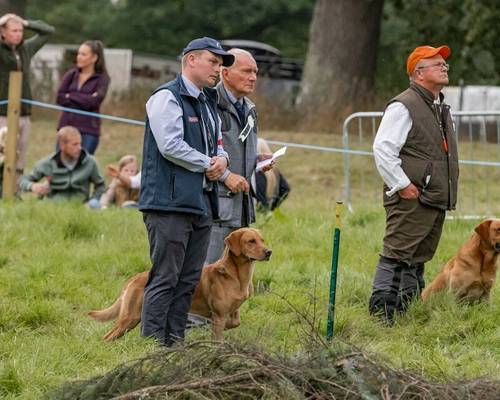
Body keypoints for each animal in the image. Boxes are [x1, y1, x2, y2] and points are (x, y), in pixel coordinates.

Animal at [88, 228, 272, 340]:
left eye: (262, 240)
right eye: (251, 241)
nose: (269, 252)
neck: (237, 275)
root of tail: (134, 278)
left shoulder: (232, 310)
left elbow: (234, 323)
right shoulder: (219, 314)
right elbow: (218, 335)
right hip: (130, 317)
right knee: (107, 336)